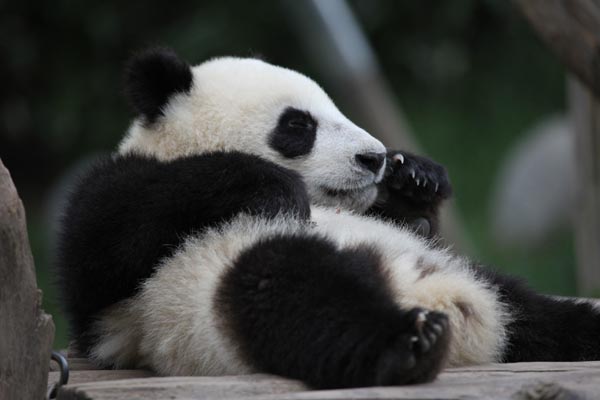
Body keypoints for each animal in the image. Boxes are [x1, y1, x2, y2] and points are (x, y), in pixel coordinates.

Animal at [56, 48, 600, 390]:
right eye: (298, 125)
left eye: (337, 108)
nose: (373, 157)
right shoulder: (117, 289)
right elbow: (104, 241)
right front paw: (270, 183)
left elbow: (415, 220)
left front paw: (414, 177)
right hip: (217, 285)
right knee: (299, 294)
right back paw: (409, 343)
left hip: (473, 274)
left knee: (537, 313)